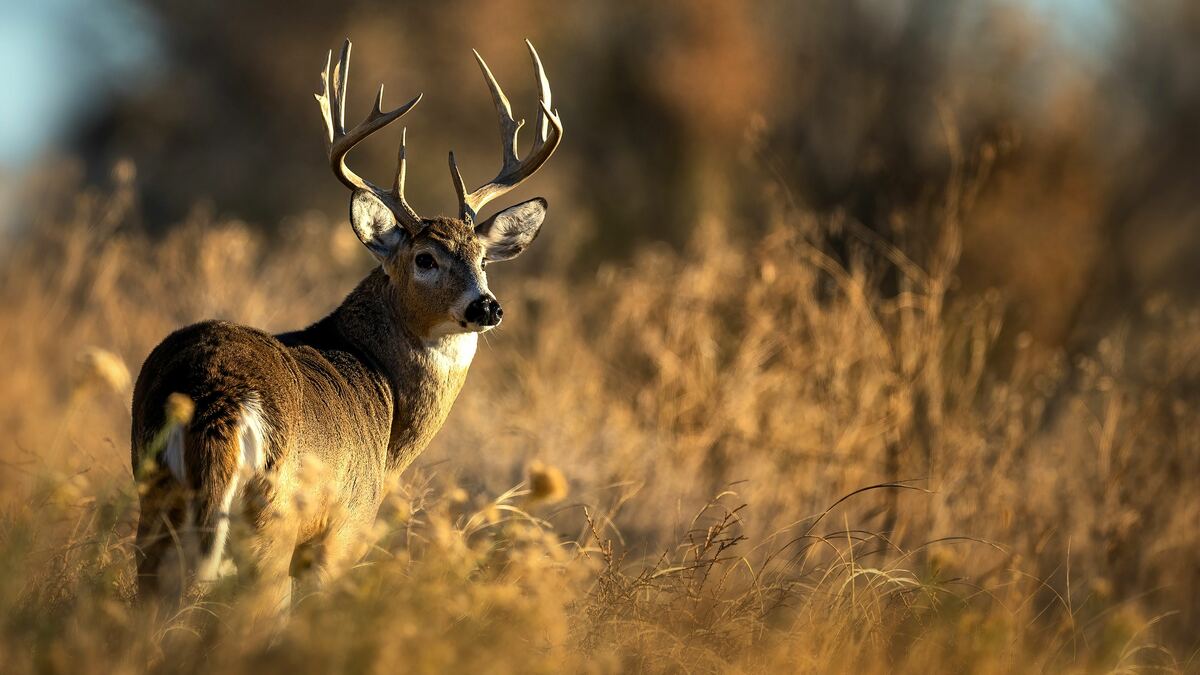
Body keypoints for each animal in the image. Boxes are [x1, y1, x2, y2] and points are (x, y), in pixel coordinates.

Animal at [130, 39, 562, 609]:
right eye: (425, 258)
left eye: (484, 259)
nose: (486, 307)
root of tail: (218, 397)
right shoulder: (346, 526)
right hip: (271, 522)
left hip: (154, 501)